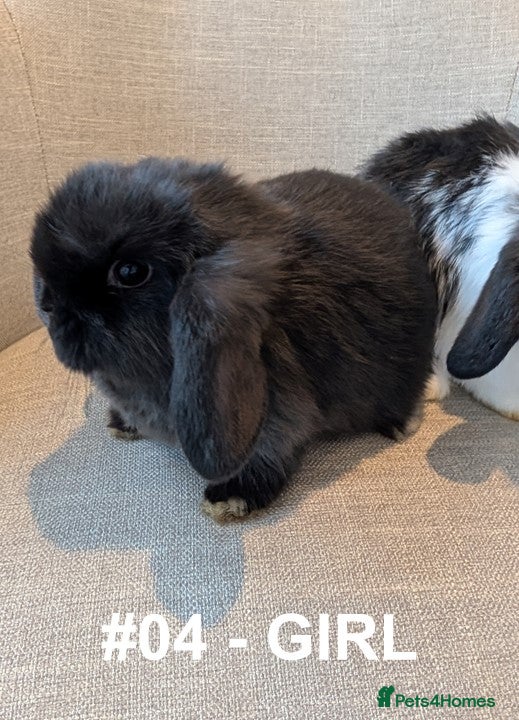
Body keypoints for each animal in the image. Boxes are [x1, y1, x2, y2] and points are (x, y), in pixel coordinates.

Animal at [31, 158, 437, 521]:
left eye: (130, 272)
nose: (47, 304)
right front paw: (122, 423)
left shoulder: (279, 409)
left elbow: (270, 449)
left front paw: (231, 498)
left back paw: (400, 424)